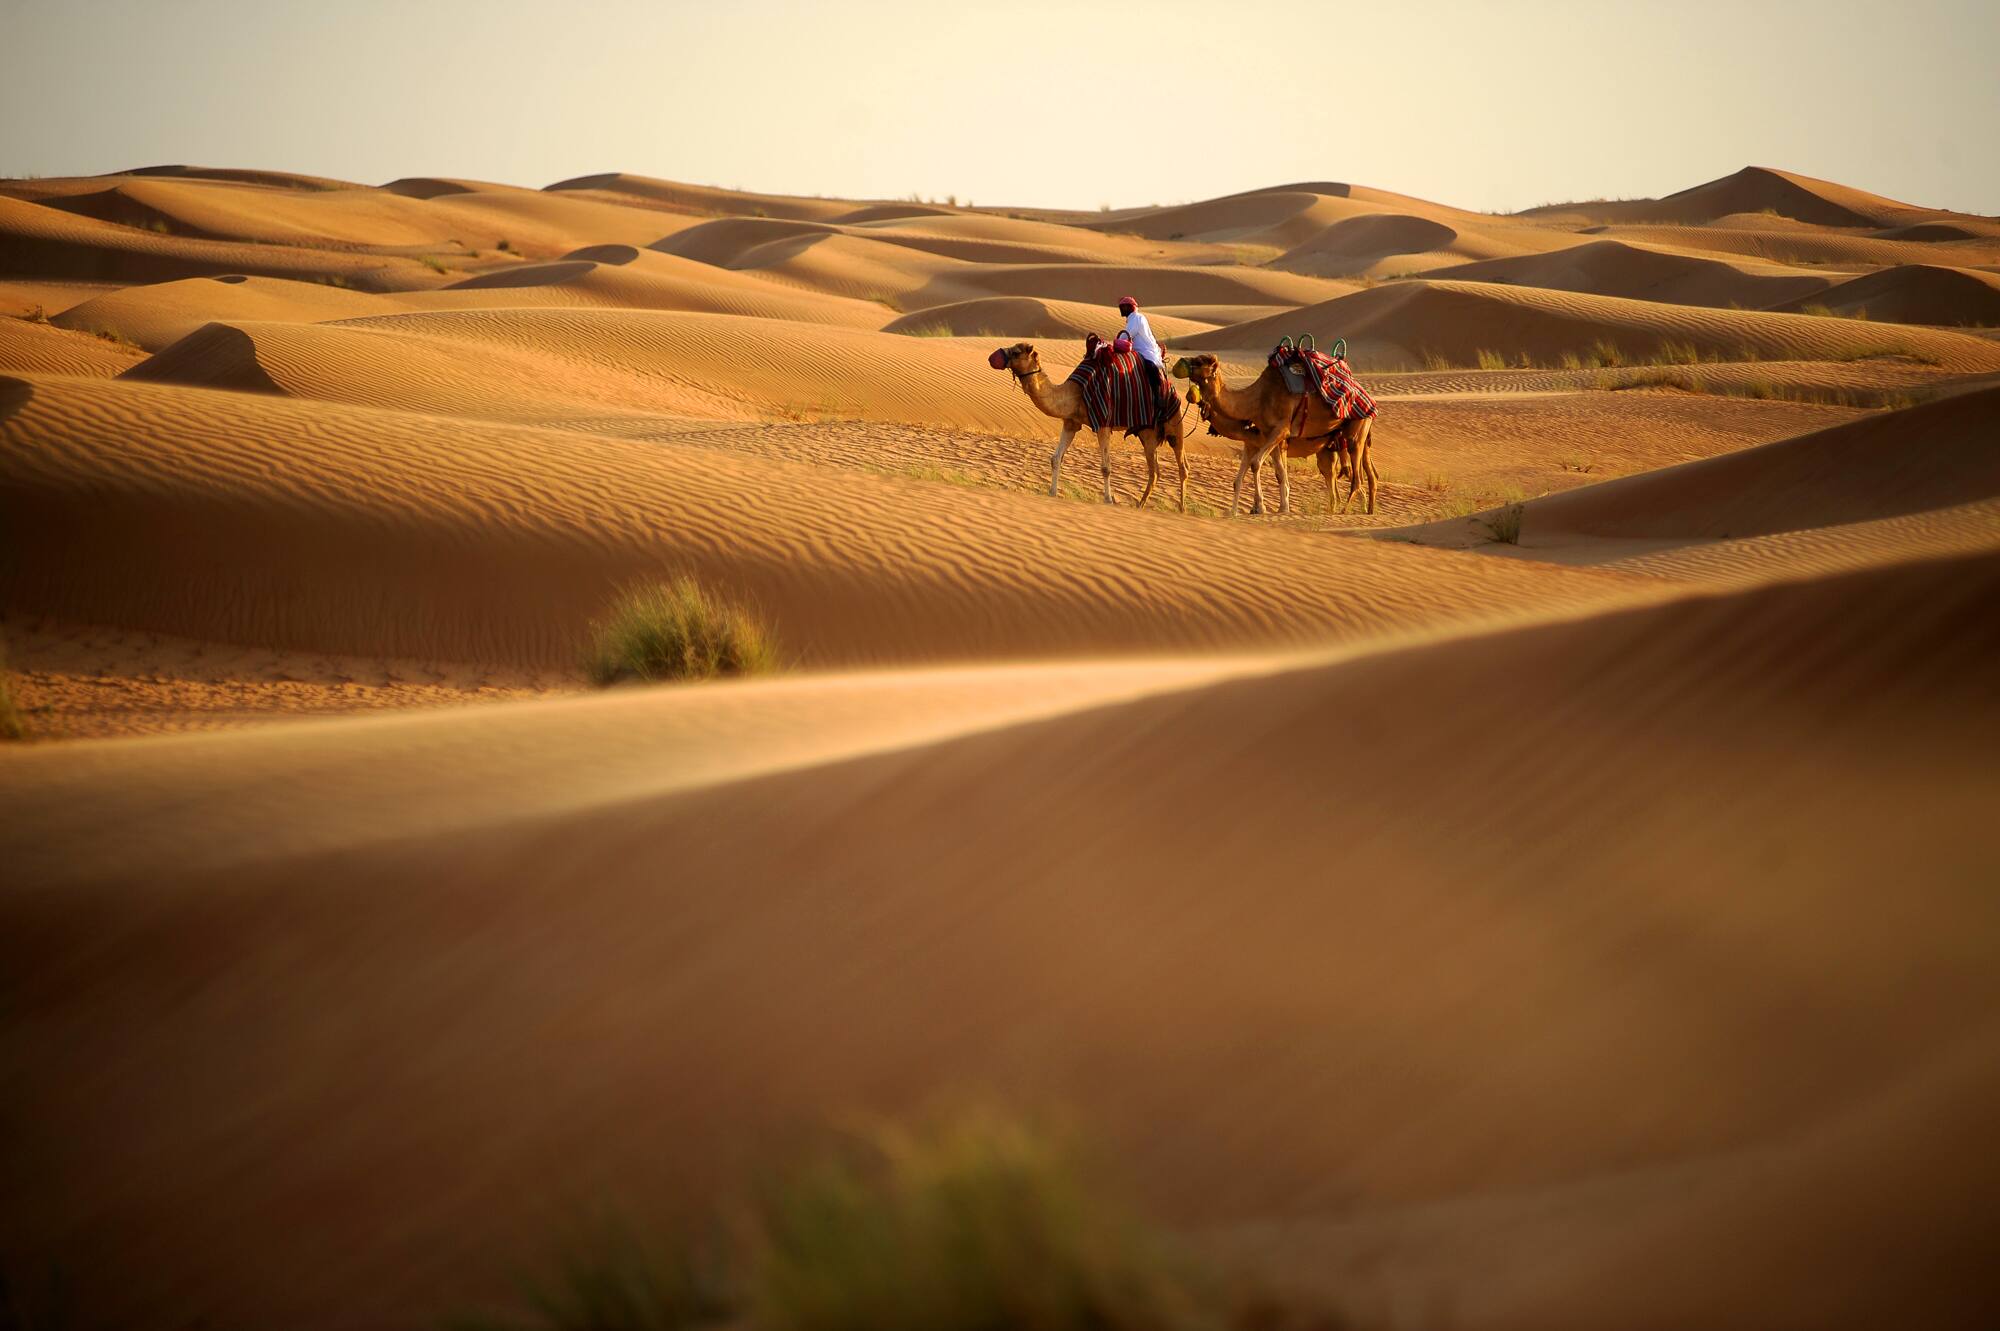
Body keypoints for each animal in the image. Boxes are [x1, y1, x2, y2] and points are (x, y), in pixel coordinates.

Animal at [988, 339, 1176, 509]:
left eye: (1016, 352)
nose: (992, 357)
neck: (1076, 393)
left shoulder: (1103, 423)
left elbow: (1106, 467)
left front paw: (1108, 500)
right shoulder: (1071, 423)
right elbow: (1055, 459)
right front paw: (1052, 493)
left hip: (1161, 425)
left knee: (1167, 467)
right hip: (1146, 430)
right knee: (1155, 470)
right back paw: (1144, 504)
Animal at [1168, 349, 1376, 515]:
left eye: (1199, 362)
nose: (1178, 363)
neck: (1256, 401)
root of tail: (1367, 396)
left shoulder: (1279, 431)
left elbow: (1257, 464)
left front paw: (1262, 508)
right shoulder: (1269, 439)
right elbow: (1273, 475)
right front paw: (1275, 509)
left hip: (1358, 428)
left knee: (1356, 476)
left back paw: (1347, 510)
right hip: (1333, 446)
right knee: (1347, 474)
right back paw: (1359, 509)